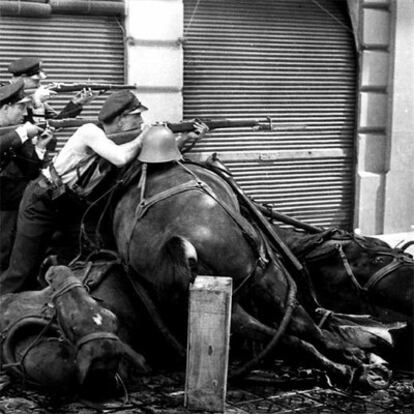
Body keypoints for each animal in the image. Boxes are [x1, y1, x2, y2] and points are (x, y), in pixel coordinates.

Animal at [113, 161, 394, 388]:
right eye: (376, 250)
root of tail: (178, 241)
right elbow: (307, 324)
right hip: (267, 276)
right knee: (302, 327)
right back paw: (352, 361)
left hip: (223, 302)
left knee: (286, 338)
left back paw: (345, 367)